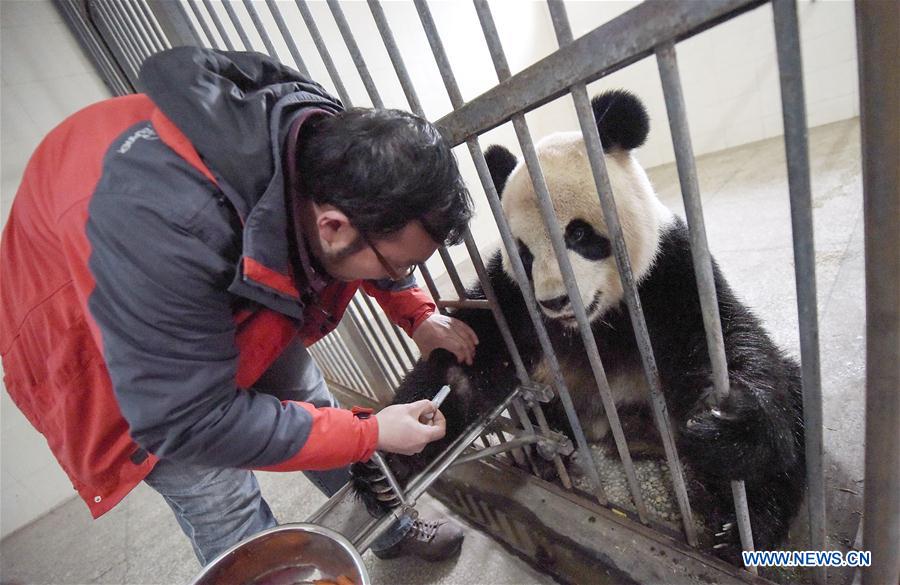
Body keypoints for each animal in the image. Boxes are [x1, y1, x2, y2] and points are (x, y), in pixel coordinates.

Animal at [352, 90, 806, 563]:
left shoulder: (667, 269)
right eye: (525, 253)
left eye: (579, 235)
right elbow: (463, 365)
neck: (595, 321)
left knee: (791, 395)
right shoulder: (512, 297)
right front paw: (387, 462)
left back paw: (744, 525)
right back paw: (542, 453)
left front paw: (730, 426)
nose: (555, 301)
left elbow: (721, 336)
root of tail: (626, 432)